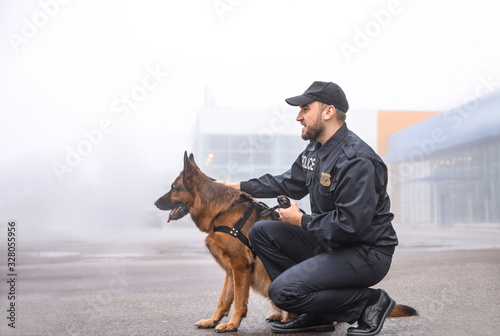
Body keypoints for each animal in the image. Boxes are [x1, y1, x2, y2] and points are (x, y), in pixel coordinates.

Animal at [154, 154, 416, 332]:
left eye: (173, 188)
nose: (155, 203)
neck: (221, 211)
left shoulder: (240, 267)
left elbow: (238, 300)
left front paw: (233, 324)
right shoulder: (230, 270)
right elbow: (224, 299)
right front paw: (213, 320)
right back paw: (282, 316)